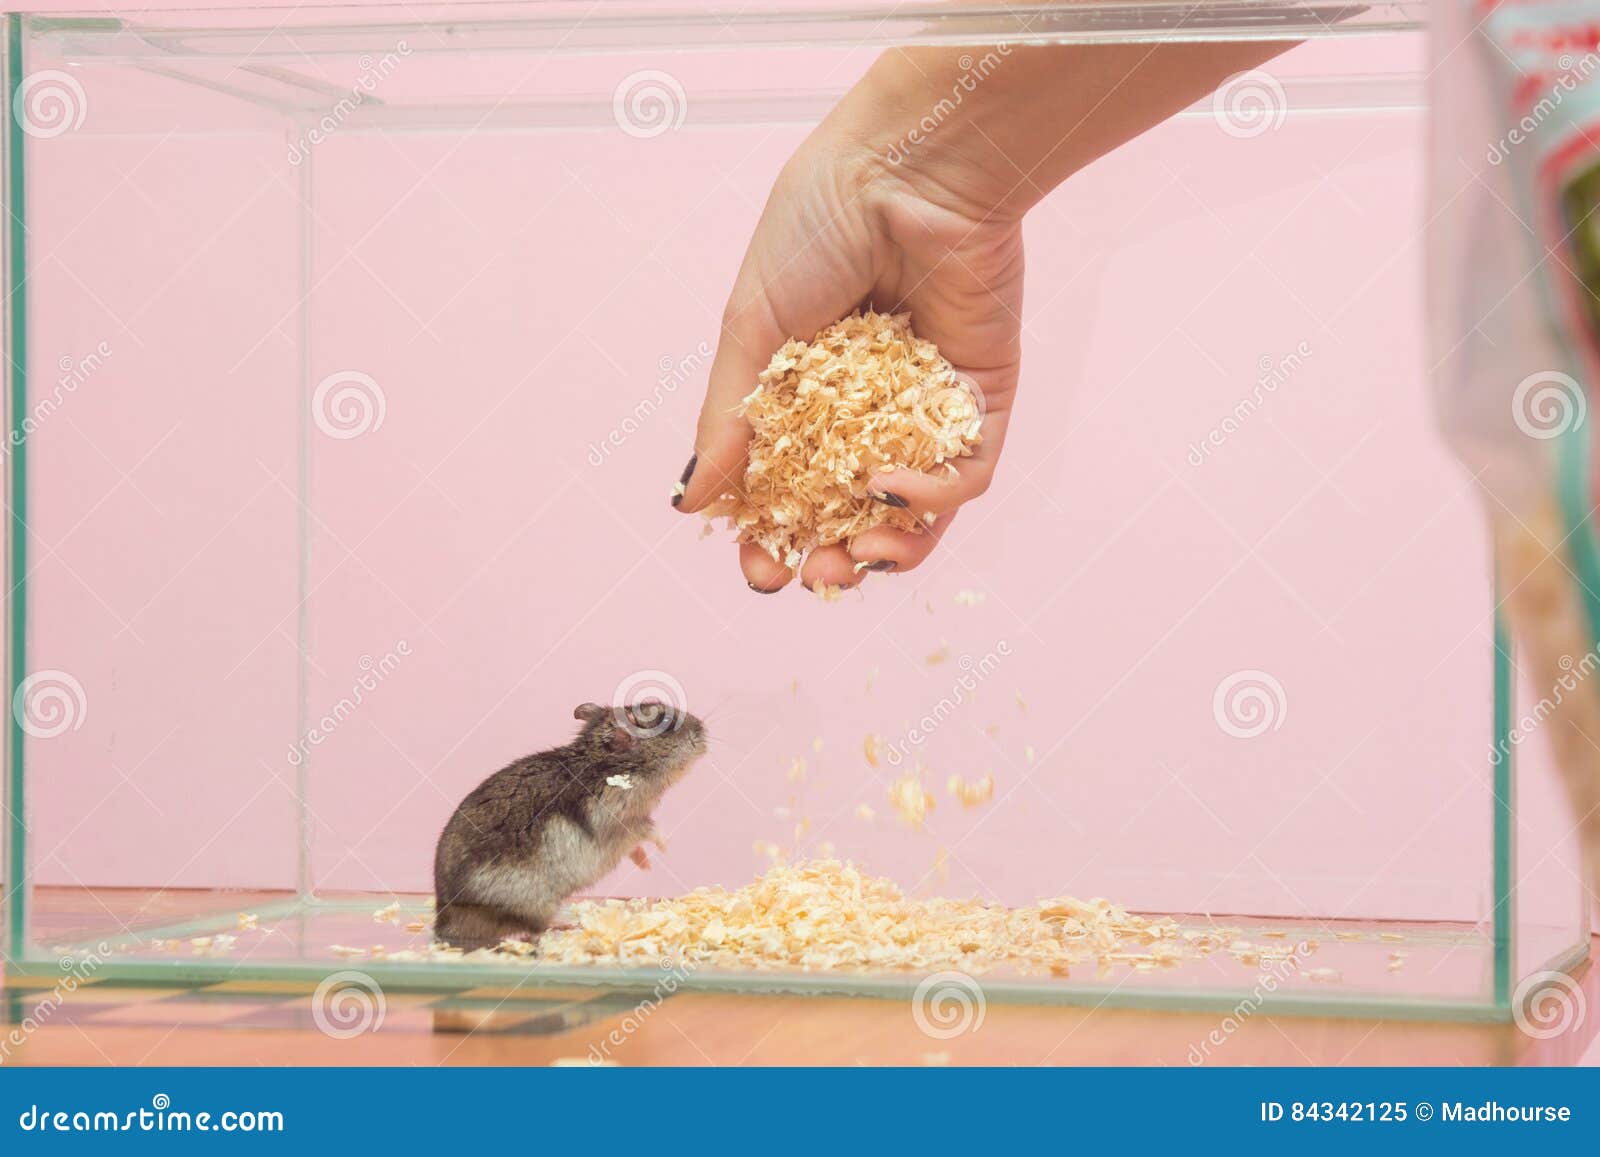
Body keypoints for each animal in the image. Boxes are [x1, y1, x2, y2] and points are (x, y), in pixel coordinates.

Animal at [432, 700, 707, 952]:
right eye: (666, 721)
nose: (703, 731)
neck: (610, 763)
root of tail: (443, 923)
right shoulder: (622, 821)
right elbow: (648, 830)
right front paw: (665, 847)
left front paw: (646, 864)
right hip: (529, 902)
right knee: (532, 927)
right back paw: (565, 926)